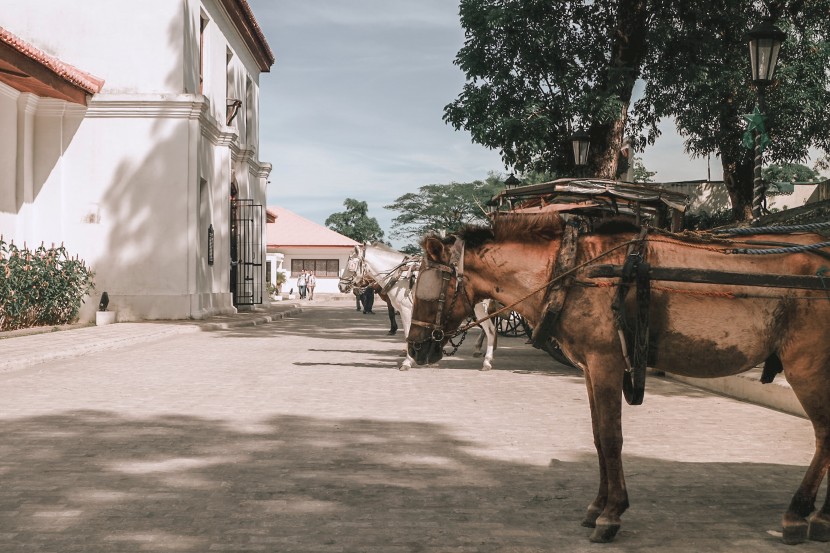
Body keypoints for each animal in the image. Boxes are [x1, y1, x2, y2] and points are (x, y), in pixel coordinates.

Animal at [336, 243, 494, 368]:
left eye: (350, 263)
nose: (341, 286)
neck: (400, 277)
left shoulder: (406, 310)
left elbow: (407, 334)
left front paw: (408, 361)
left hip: (478, 307)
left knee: (489, 329)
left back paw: (485, 358)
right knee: (490, 329)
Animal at [408, 212, 830, 544]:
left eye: (425, 286)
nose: (415, 348)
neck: (572, 270)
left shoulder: (605, 362)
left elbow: (612, 438)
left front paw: (611, 515)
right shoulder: (590, 368)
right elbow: (598, 437)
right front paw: (598, 506)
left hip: (808, 365)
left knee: (825, 434)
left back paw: (799, 515)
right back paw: (820, 517)